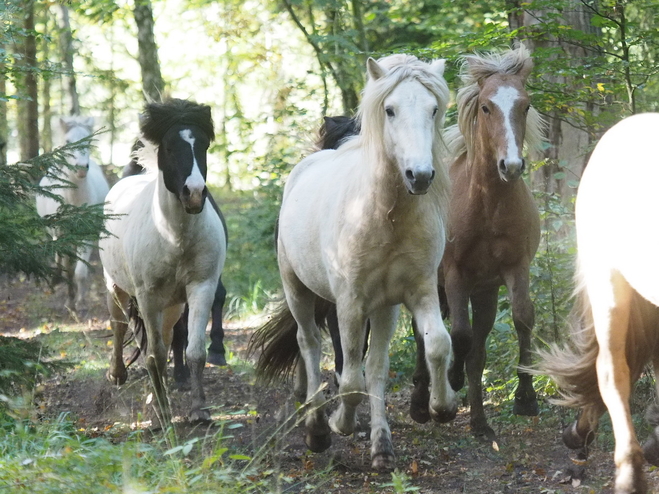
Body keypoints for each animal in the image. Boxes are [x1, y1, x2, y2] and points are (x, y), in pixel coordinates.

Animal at [36, 115, 110, 312]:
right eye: (68, 141)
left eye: (89, 141)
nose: (81, 168)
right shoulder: (61, 235)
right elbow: (68, 267)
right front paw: (69, 301)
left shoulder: (86, 235)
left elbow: (80, 271)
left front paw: (81, 302)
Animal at [100, 98, 227, 422]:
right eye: (170, 147)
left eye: (204, 145)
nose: (194, 194)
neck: (172, 237)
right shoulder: (147, 295)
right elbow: (154, 354)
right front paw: (163, 416)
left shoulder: (201, 288)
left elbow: (194, 352)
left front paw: (199, 409)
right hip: (116, 288)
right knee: (120, 325)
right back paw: (118, 374)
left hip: (172, 304)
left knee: (167, 338)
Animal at [251, 55, 458, 470]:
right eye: (390, 110)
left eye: (433, 110)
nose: (420, 176)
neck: (385, 216)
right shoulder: (350, 305)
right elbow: (349, 379)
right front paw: (339, 424)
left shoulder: (413, 295)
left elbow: (433, 346)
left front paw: (440, 409)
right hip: (298, 291)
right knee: (310, 345)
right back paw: (317, 428)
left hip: (378, 308)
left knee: (370, 366)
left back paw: (379, 445)